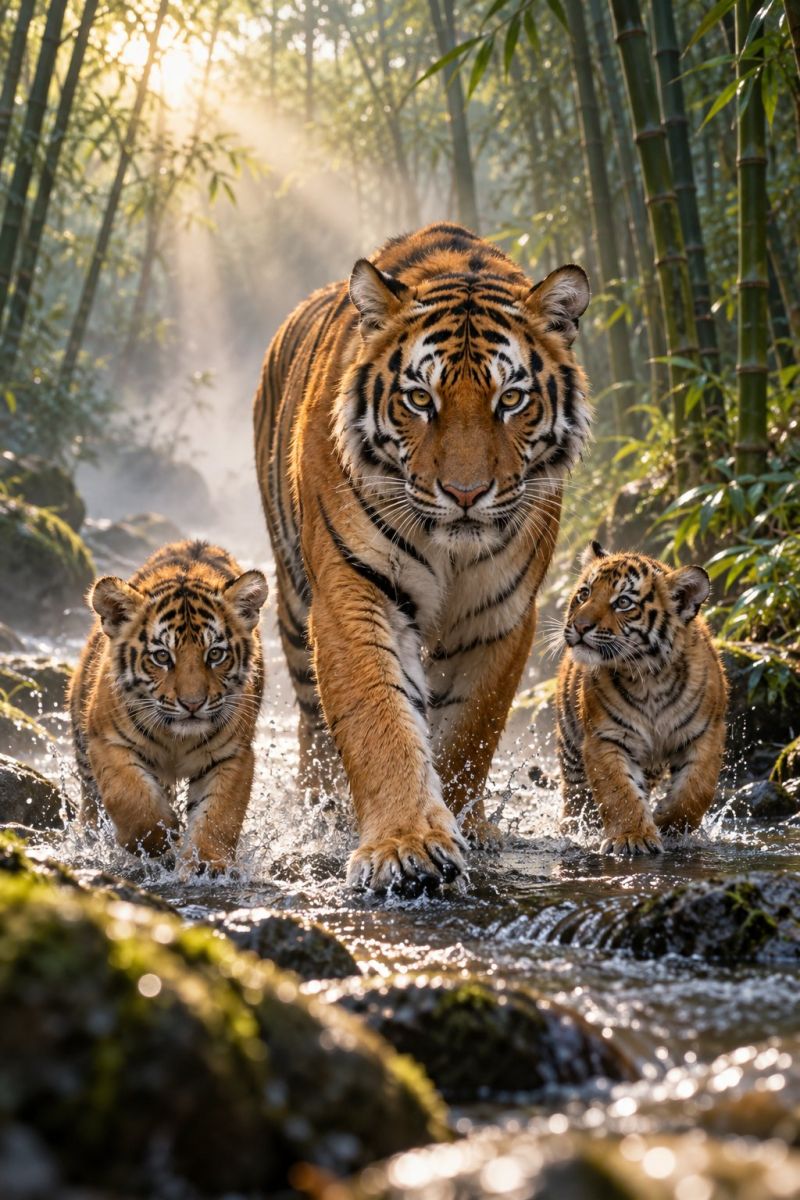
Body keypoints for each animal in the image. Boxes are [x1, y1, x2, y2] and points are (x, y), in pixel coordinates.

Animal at [69, 540, 268, 873]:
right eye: (162, 656)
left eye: (215, 654)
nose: (193, 703)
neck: (176, 739)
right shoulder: (108, 743)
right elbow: (132, 800)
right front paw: (161, 837)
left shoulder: (231, 756)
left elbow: (219, 815)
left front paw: (206, 865)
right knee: (90, 797)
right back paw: (89, 834)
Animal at [253, 221, 592, 896]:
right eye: (418, 399)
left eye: (511, 399)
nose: (465, 493)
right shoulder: (354, 591)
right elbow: (379, 716)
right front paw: (404, 846)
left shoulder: (501, 614)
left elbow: (467, 733)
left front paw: (462, 829)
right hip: (294, 604)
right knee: (312, 722)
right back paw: (320, 809)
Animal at [555, 541, 728, 855]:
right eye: (584, 593)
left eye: (623, 602)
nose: (580, 625)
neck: (649, 678)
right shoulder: (605, 737)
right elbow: (618, 792)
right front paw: (631, 837)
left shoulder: (707, 734)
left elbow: (696, 790)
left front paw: (667, 823)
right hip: (570, 748)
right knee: (575, 797)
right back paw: (573, 829)